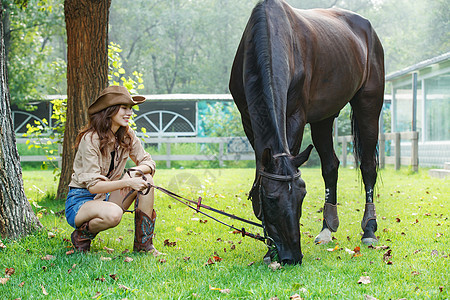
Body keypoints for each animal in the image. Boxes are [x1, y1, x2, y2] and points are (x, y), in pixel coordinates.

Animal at [230, 0, 384, 264]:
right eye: (271, 199)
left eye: (302, 196)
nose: (292, 256)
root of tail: (369, 32)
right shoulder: (248, 119)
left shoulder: (296, 115)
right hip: (324, 118)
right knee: (331, 166)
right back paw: (327, 229)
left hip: (369, 106)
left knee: (367, 167)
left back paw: (369, 230)